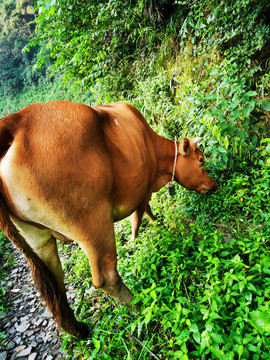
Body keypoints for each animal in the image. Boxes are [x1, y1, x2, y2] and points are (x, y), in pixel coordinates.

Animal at [0, 100, 215, 338]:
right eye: (201, 160)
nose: (214, 185)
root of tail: (15, 122)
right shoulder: (143, 188)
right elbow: (139, 216)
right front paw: (141, 236)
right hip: (92, 221)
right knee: (105, 276)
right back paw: (141, 306)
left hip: (36, 238)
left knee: (53, 283)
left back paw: (78, 329)